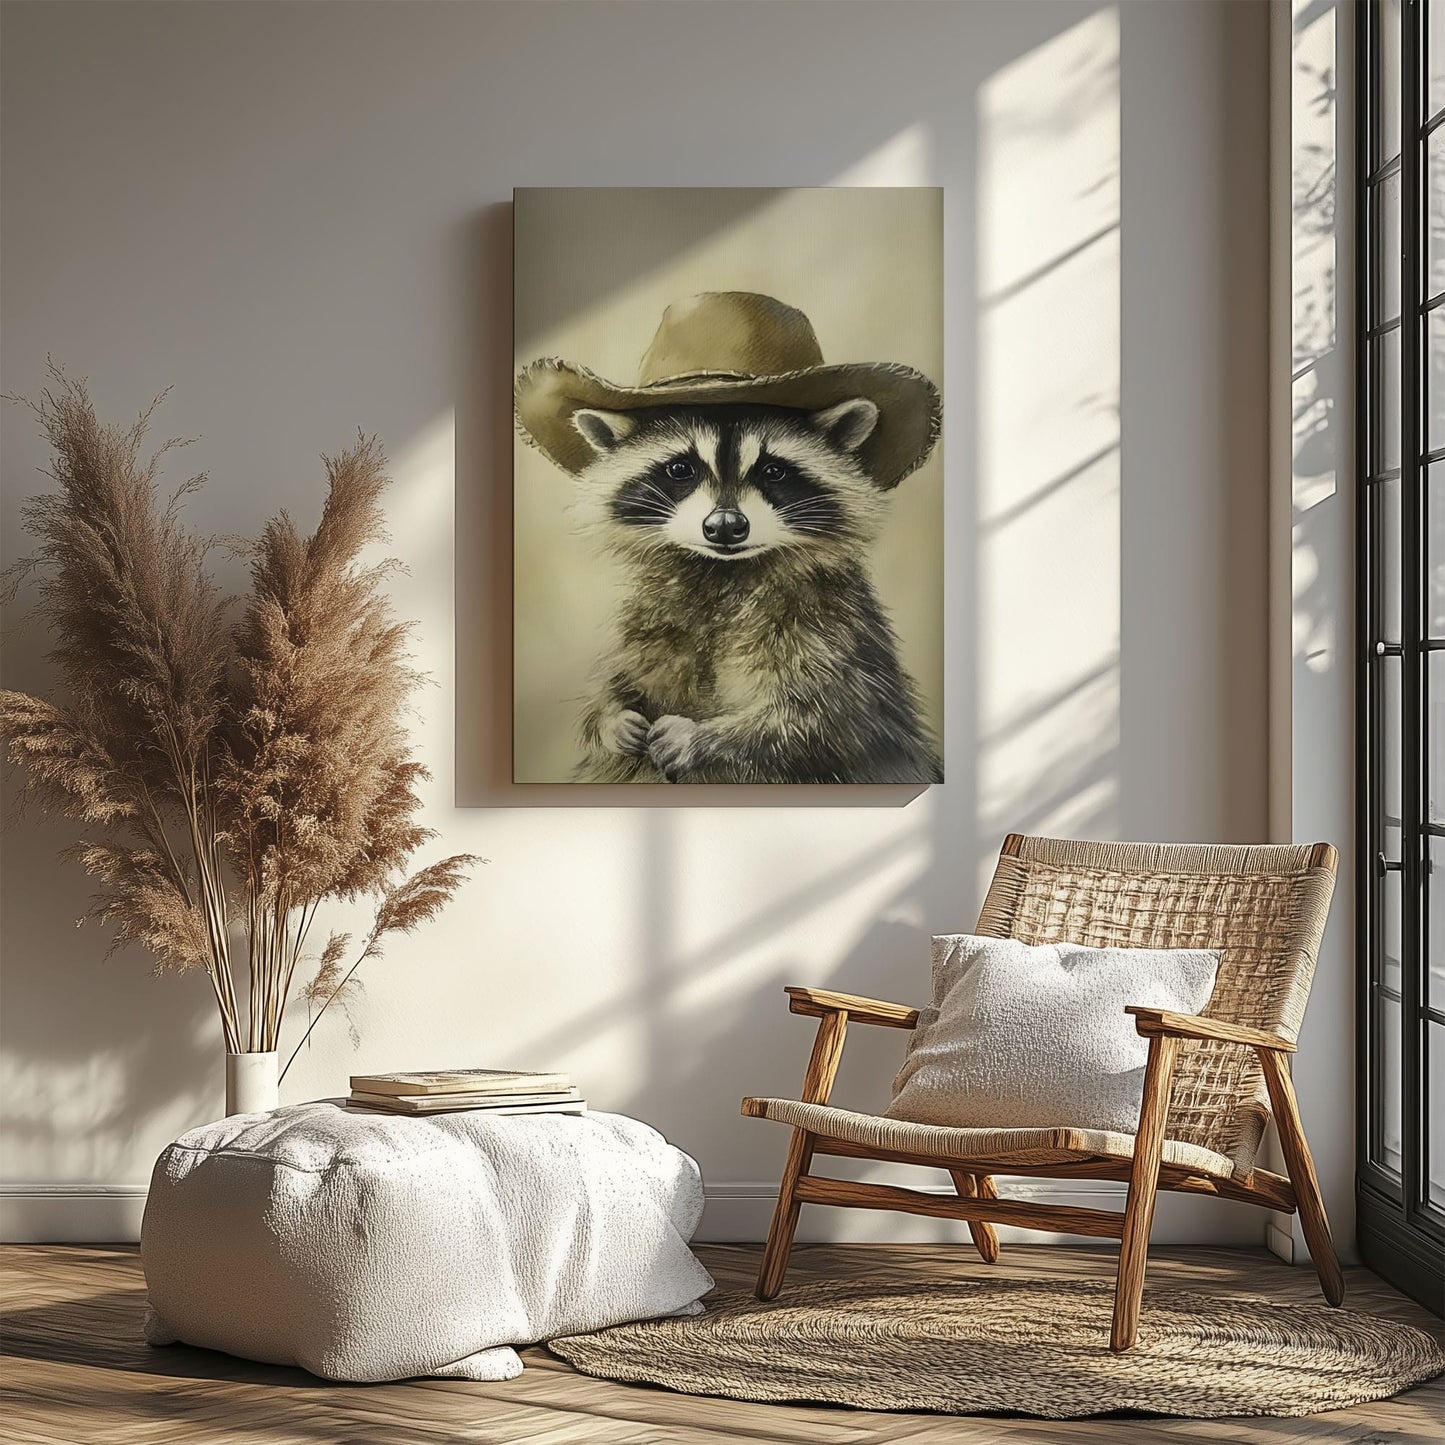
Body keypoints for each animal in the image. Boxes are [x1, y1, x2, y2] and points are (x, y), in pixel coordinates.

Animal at [567, 400, 942, 784]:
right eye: (680, 469)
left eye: (773, 471)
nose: (725, 526)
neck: (721, 571)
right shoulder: (651, 618)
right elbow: (619, 677)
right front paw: (610, 715)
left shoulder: (833, 629)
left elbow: (829, 719)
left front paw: (702, 737)